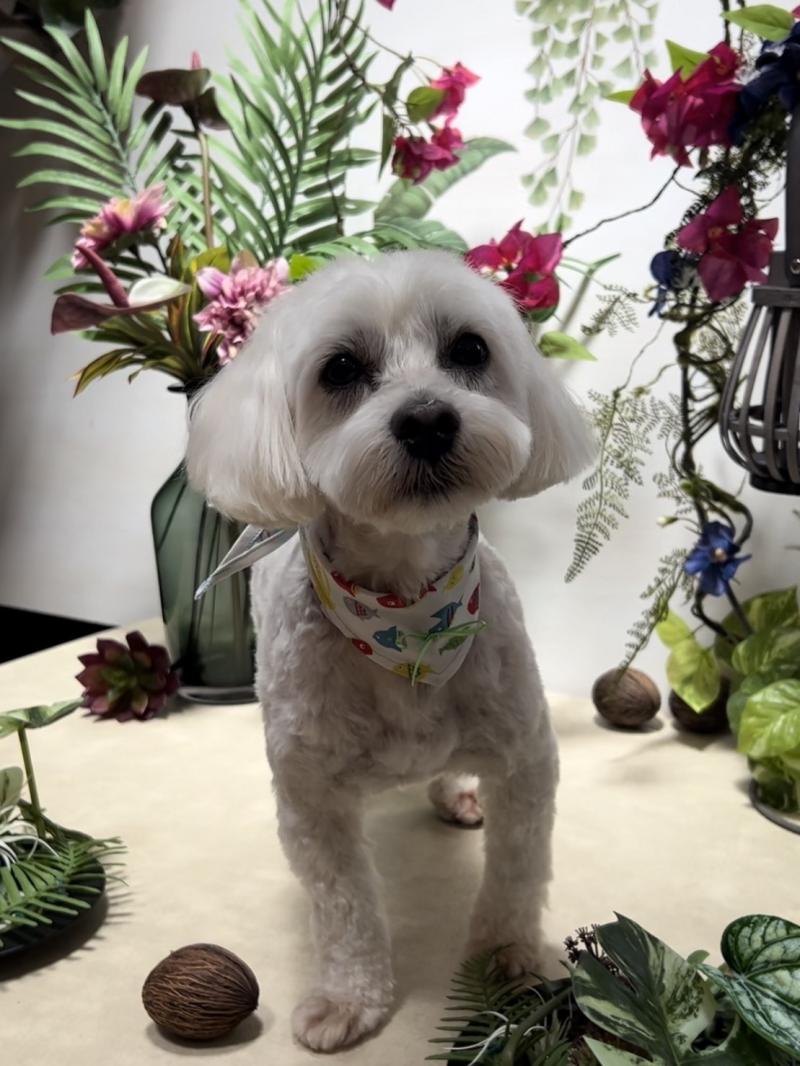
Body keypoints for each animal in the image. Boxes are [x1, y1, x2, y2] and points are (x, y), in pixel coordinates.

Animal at [186, 250, 593, 1052]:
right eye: (341, 367)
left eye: (470, 349)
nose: (429, 418)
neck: (408, 620)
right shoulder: (311, 799)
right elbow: (344, 906)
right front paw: (350, 998)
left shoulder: (527, 761)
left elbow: (516, 872)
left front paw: (505, 958)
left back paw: (455, 790)